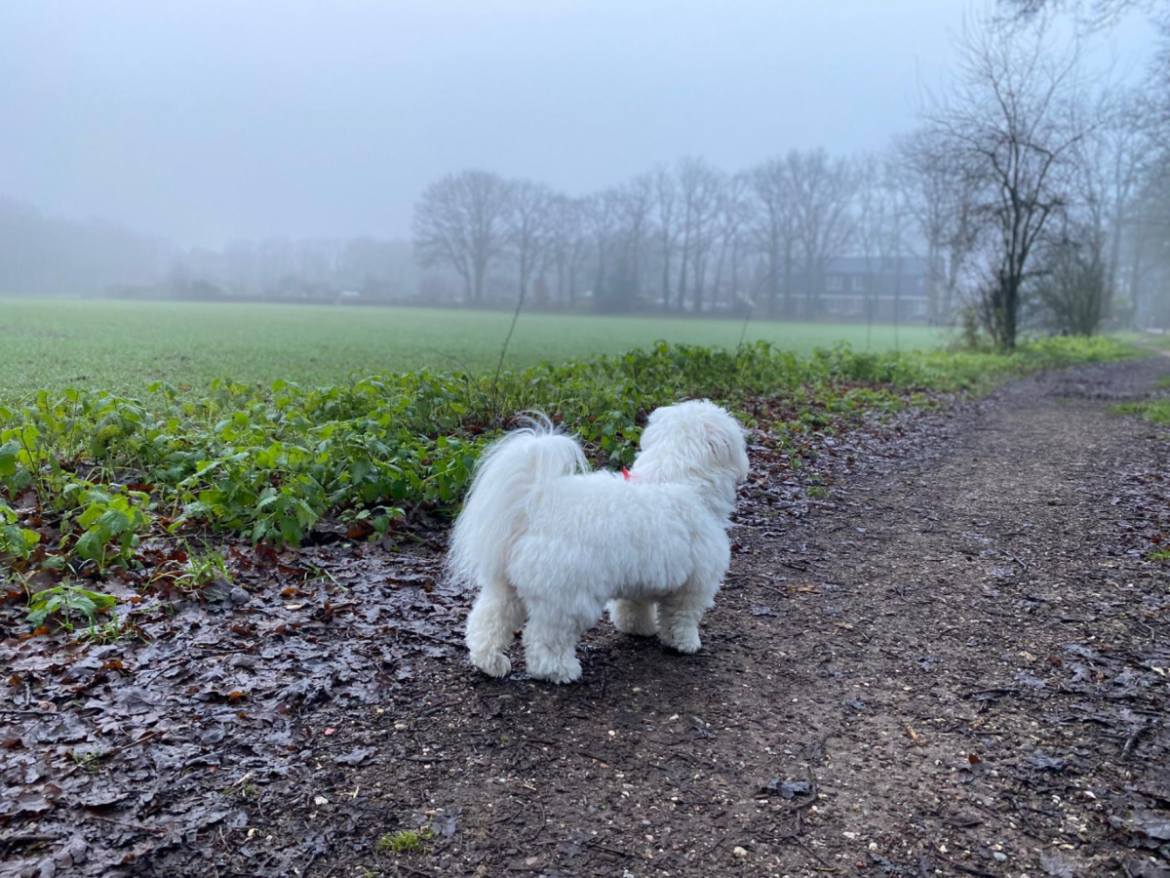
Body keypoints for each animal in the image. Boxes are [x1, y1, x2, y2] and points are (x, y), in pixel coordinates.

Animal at [446, 405, 748, 688]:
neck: (676, 479)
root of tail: (532, 507)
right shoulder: (694, 585)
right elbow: (681, 619)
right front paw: (685, 643)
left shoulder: (640, 575)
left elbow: (633, 607)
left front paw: (639, 628)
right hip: (567, 599)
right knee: (545, 637)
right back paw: (559, 671)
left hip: (506, 588)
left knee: (488, 622)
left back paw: (490, 662)